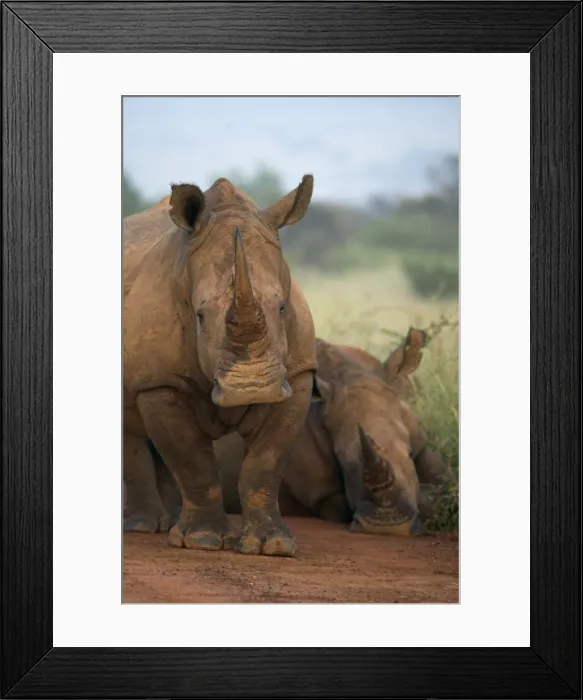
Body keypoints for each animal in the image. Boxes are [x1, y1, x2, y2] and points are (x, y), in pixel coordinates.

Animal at [123, 174, 318, 557]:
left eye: (283, 308)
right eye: (200, 316)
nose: (253, 388)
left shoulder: (298, 375)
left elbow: (265, 463)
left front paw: (272, 545)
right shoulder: (159, 382)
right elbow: (191, 460)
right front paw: (202, 540)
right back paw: (143, 528)